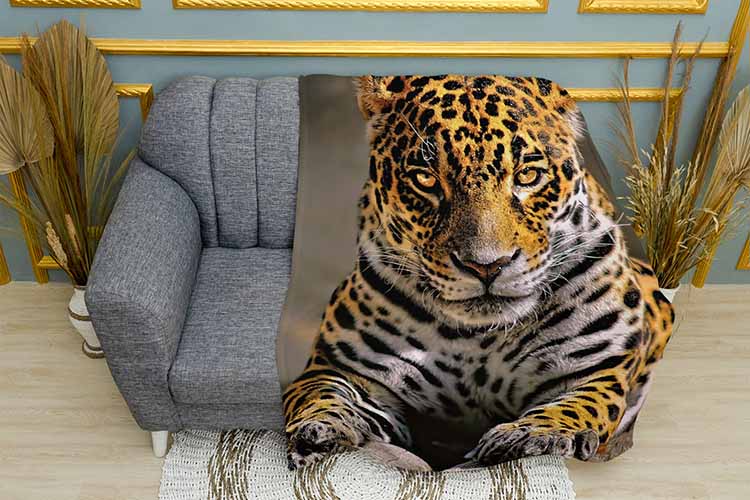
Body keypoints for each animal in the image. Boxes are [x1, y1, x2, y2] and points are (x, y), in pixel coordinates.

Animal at [282, 74, 674, 470]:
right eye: (426, 179)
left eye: (528, 175)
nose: (486, 266)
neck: (480, 338)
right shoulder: (343, 369)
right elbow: (322, 396)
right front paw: (321, 433)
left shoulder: (592, 373)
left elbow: (573, 409)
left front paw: (530, 436)